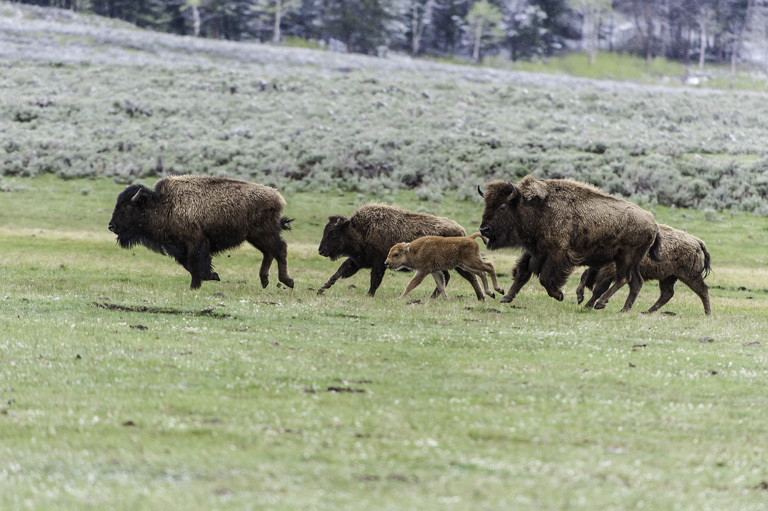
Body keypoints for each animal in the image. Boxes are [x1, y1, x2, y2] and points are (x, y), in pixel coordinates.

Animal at [105, 175, 292, 290]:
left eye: (127, 207)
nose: (111, 226)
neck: (164, 205)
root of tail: (278, 198)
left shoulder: (195, 243)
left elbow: (195, 264)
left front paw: (197, 284)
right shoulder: (181, 248)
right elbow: (189, 265)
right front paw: (211, 276)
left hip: (263, 234)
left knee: (279, 249)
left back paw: (287, 281)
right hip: (256, 237)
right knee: (270, 253)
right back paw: (265, 281)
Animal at [316, 204, 484, 300]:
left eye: (333, 233)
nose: (321, 251)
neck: (360, 229)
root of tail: (462, 230)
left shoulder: (378, 263)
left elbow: (375, 280)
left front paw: (369, 295)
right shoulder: (358, 260)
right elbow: (339, 271)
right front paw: (321, 289)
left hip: (460, 264)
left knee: (470, 277)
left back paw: (480, 297)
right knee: (448, 277)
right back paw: (433, 297)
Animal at [476, 176, 664, 312]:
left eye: (502, 206)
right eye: (486, 204)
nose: (484, 229)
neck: (537, 209)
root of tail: (653, 223)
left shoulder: (557, 253)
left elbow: (545, 277)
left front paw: (558, 295)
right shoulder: (535, 251)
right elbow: (523, 273)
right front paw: (506, 297)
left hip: (626, 258)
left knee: (623, 278)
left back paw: (600, 303)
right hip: (633, 261)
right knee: (636, 282)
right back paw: (624, 309)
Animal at [576, 225, 712, 316]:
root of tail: (697, 241)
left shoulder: (609, 271)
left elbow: (599, 288)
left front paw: (589, 304)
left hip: (689, 276)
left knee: (703, 290)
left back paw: (708, 313)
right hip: (667, 277)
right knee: (667, 294)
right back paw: (646, 311)